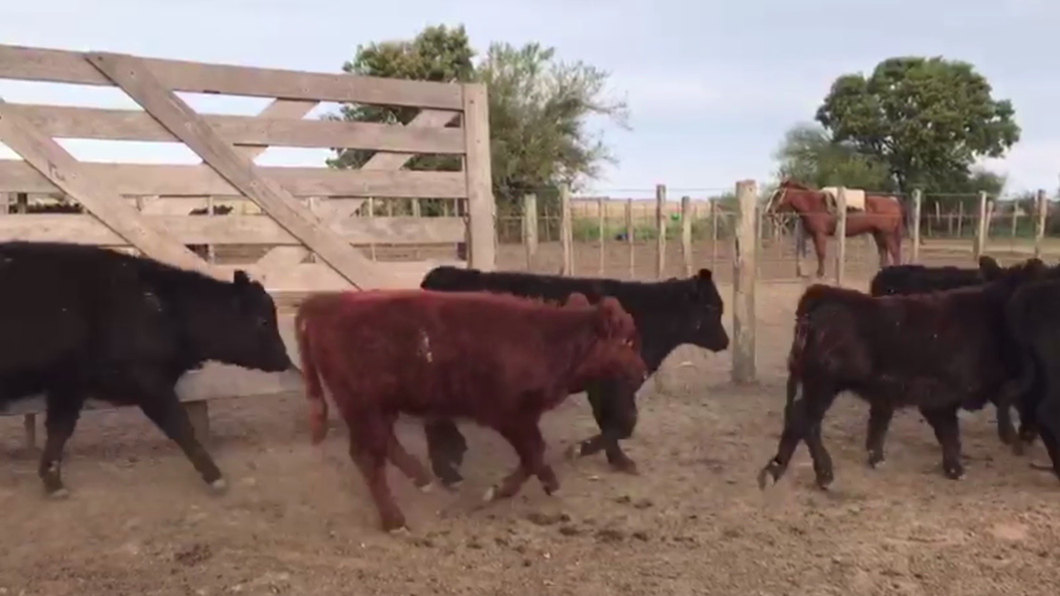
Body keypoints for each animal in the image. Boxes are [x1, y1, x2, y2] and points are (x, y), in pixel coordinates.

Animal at [294, 288, 648, 528]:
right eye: (627, 341)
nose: (643, 371)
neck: (547, 339)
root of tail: (325, 303)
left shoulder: (521, 417)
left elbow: (531, 456)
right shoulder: (510, 414)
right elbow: (534, 452)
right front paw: (522, 487)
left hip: (379, 409)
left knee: (381, 447)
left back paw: (421, 479)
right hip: (362, 408)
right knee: (369, 458)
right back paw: (394, 520)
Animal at [767, 178, 907, 277]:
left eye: (778, 193)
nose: (768, 210)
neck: (814, 205)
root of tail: (894, 202)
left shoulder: (820, 234)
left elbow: (821, 253)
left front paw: (821, 273)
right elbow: (819, 253)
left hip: (887, 234)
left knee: (894, 252)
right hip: (878, 234)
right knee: (883, 252)